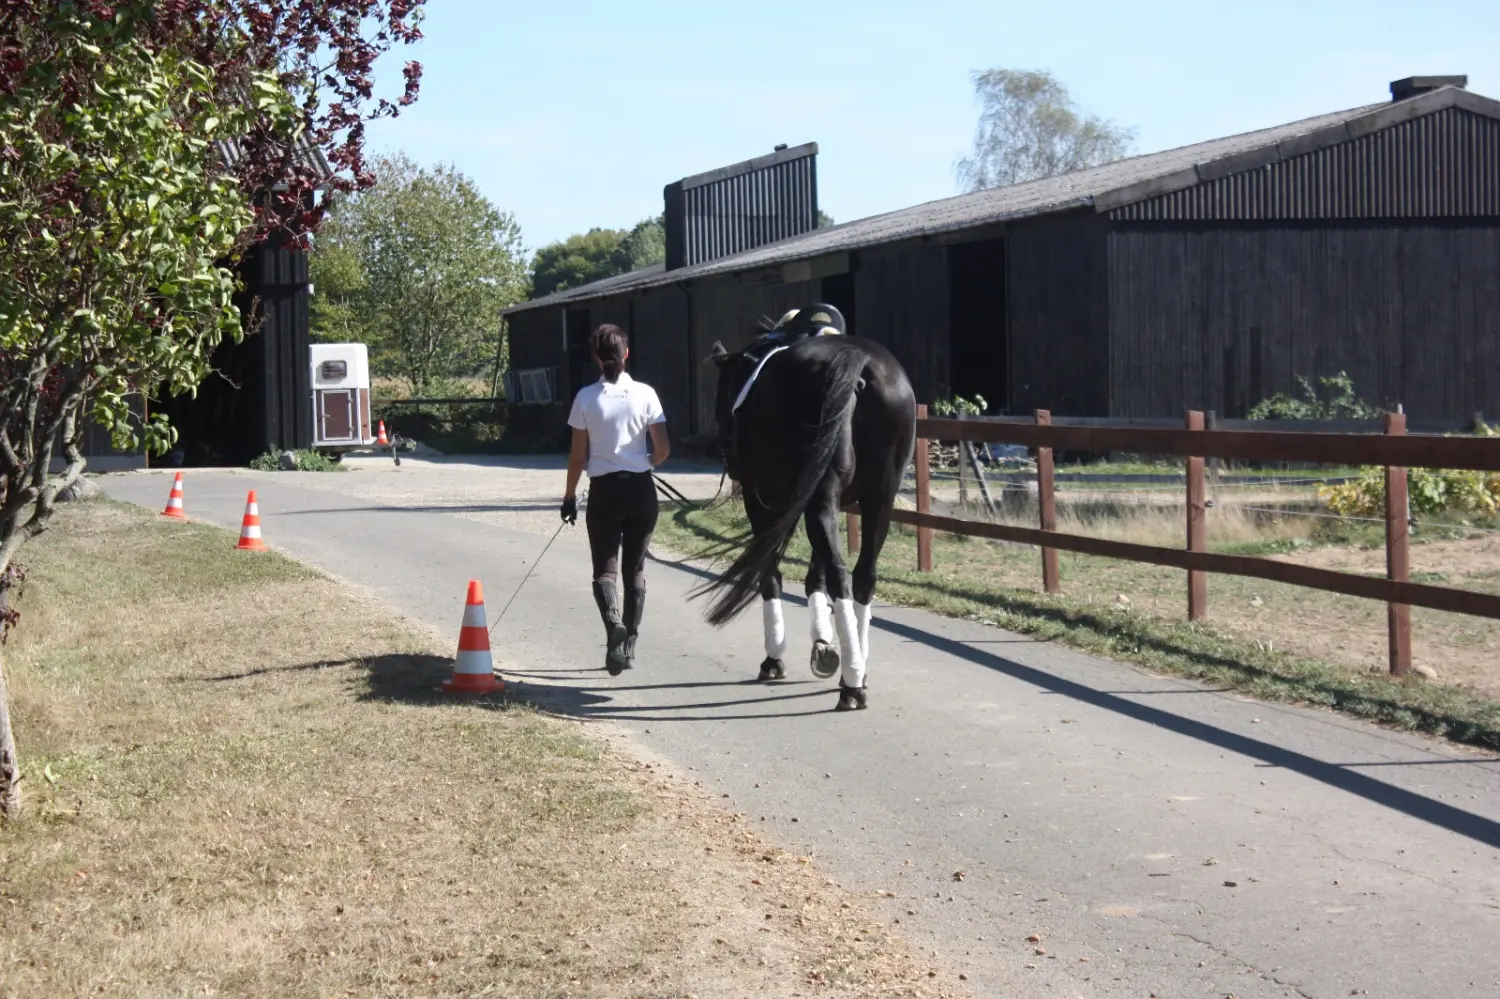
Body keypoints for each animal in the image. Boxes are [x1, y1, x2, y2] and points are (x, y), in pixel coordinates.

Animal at [699, 303, 912, 708]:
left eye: (720, 394)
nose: (723, 449)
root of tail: (857, 361)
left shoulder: (762, 500)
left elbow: (771, 572)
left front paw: (775, 658)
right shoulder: (831, 500)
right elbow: (816, 572)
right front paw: (824, 645)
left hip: (817, 495)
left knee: (841, 573)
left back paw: (852, 684)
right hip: (878, 498)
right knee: (862, 575)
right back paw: (856, 668)